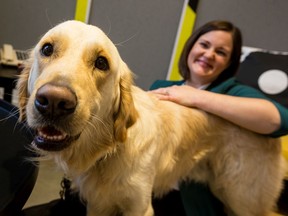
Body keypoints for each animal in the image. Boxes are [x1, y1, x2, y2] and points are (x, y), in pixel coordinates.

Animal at [17, 19, 286, 214]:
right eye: (47, 49)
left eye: (101, 63)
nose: (54, 102)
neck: (109, 150)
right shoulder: (98, 204)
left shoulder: (140, 206)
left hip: (243, 198)